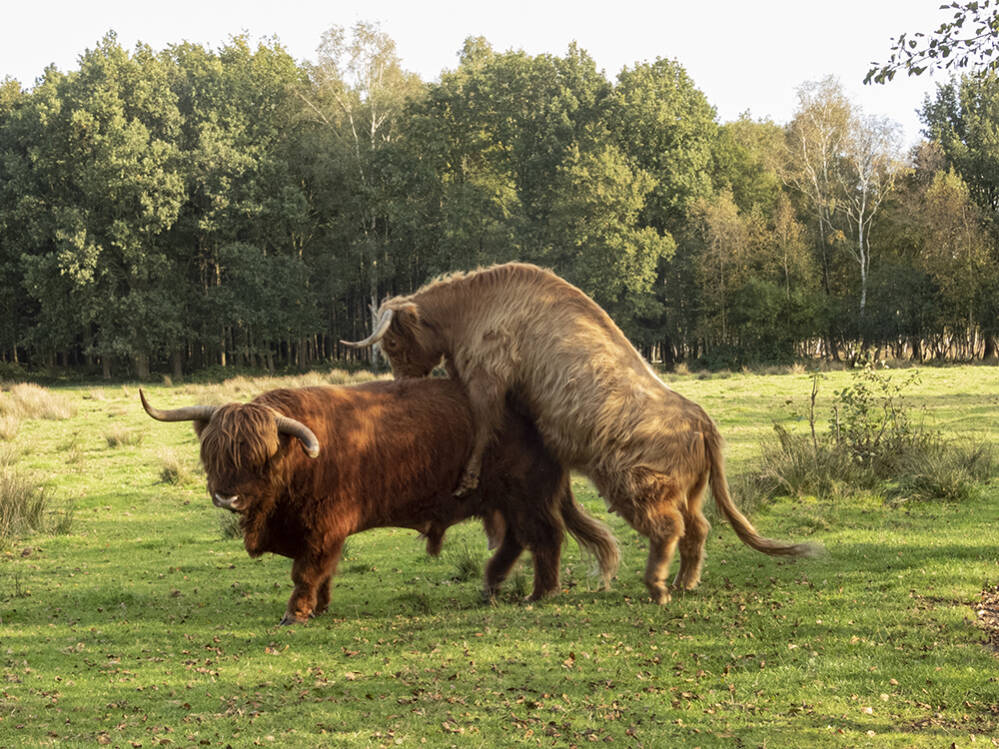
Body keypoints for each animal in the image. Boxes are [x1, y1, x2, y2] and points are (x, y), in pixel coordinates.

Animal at [140, 378, 618, 624]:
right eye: (213, 454)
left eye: (257, 458)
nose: (226, 495)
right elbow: (323, 571)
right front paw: (322, 606)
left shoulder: (324, 526)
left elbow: (307, 571)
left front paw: (297, 612)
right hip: (504, 498)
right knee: (519, 539)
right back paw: (490, 586)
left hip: (529, 493)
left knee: (546, 537)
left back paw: (540, 593)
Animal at [341, 262, 819, 605]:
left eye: (394, 343)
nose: (403, 384)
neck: (473, 308)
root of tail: (702, 420)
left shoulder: (488, 376)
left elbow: (482, 427)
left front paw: (468, 478)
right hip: (690, 490)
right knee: (697, 527)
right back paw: (685, 583)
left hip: (636, 484)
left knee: (668, 528)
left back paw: (657, 587)